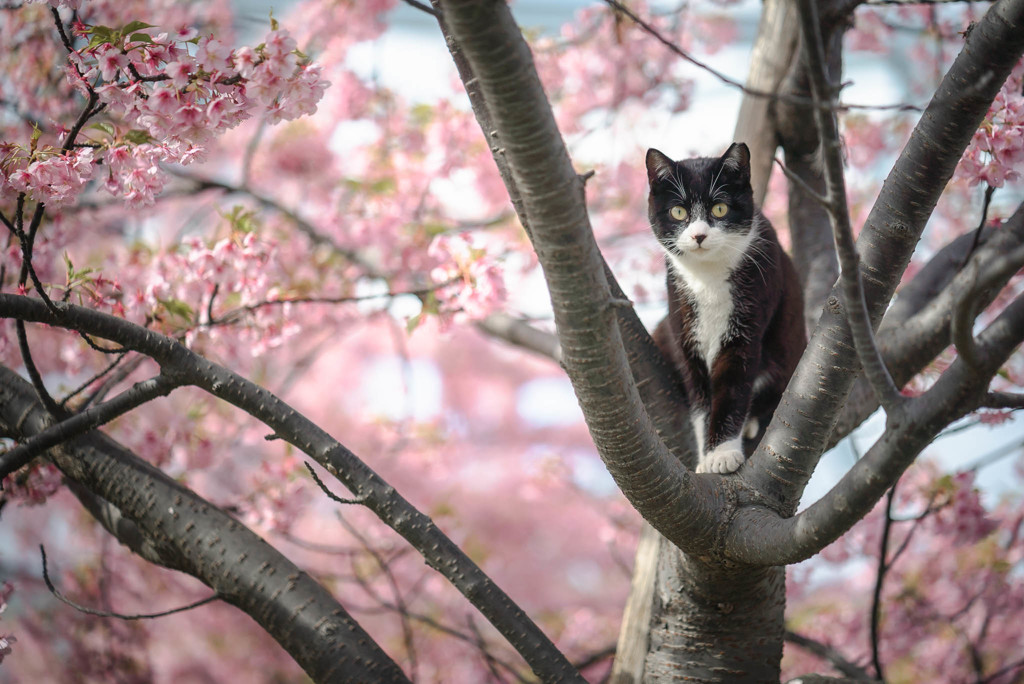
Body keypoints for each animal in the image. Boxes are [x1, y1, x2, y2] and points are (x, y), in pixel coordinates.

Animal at [647, 143, 806, 475]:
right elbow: (700, 399)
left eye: (719, 208)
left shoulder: (747, 321)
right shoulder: (683, 326)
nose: (699, 235)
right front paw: (706, 458)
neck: (708, 277)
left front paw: (722, 454)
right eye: (678, 211)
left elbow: (732, 389)